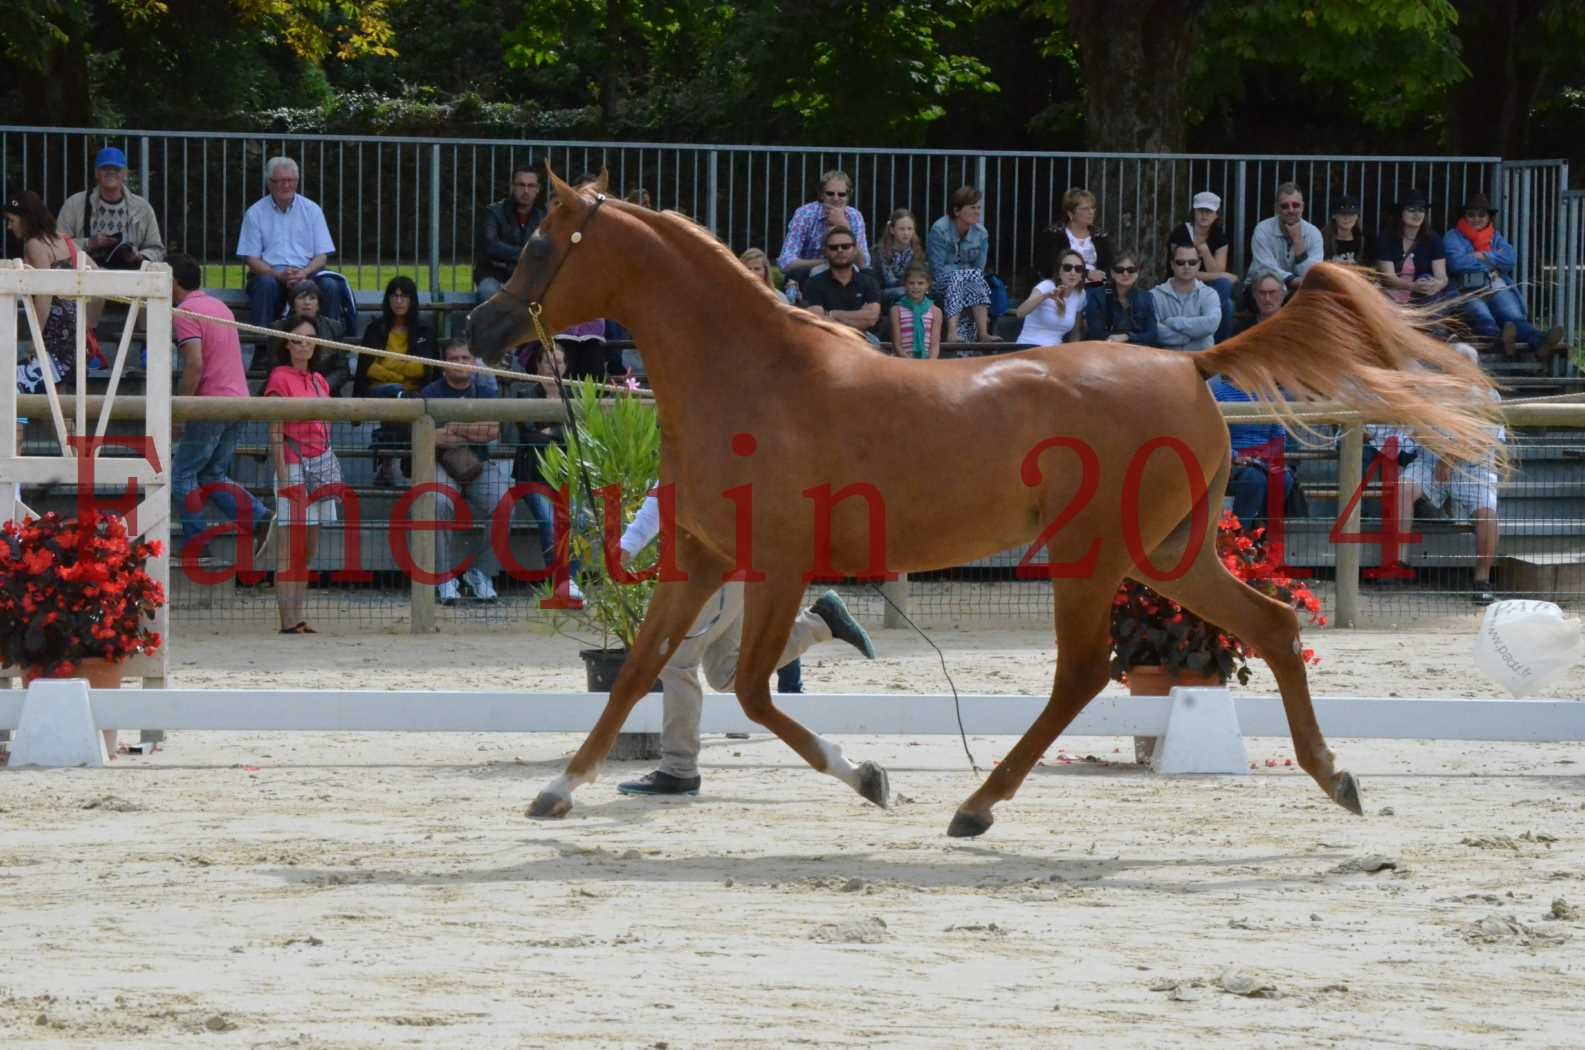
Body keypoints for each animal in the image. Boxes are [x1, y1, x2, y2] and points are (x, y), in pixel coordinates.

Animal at [465, 170, 1496, 837]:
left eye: (542, 245)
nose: (479, 326)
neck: (754, 377)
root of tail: (1188, 364)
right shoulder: (704, 555)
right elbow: (639, 672)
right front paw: (557, 792)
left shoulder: (779, 563)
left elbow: (752, 689)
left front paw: (871, 779)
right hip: (1170, 552)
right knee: (1272, 628)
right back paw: (1338, 780)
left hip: (1096, 557)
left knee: (1083, 672)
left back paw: (975, 807)